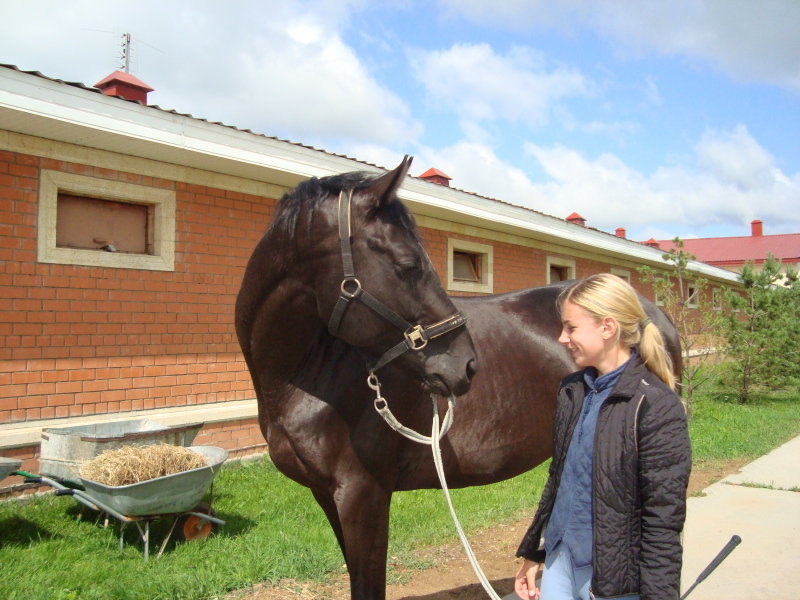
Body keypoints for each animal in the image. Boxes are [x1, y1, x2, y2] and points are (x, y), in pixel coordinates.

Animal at [233, 156, 680, 600]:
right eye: (408, 264)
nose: (466, 365)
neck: (308, 375)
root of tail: (650, 311)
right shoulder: (328, 495)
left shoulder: (363, 495)